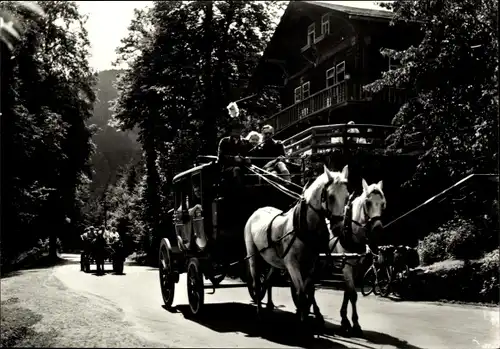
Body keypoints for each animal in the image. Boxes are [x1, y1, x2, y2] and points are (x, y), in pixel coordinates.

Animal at [245, 164, 348, 328]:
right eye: (331, 196)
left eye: (347, 197)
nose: (338, 228)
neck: (305, 227)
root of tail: (258, 210)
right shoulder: (292, 264)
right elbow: (301, 292)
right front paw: (303, 320)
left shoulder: (311, 264)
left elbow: (308, 290)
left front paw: (307, 314)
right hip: (252, 255)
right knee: (256, 281)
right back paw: (259, 311)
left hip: (273, 260)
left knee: (267, 280)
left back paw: (269, 305)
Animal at [328, 178, 386, 336]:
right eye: (368, 202)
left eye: (383, 204)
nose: (378, 230)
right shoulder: (346, 266)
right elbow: (353, 294)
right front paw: (355, 324)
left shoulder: (357, 268)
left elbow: (348, 293)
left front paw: (345, 320)